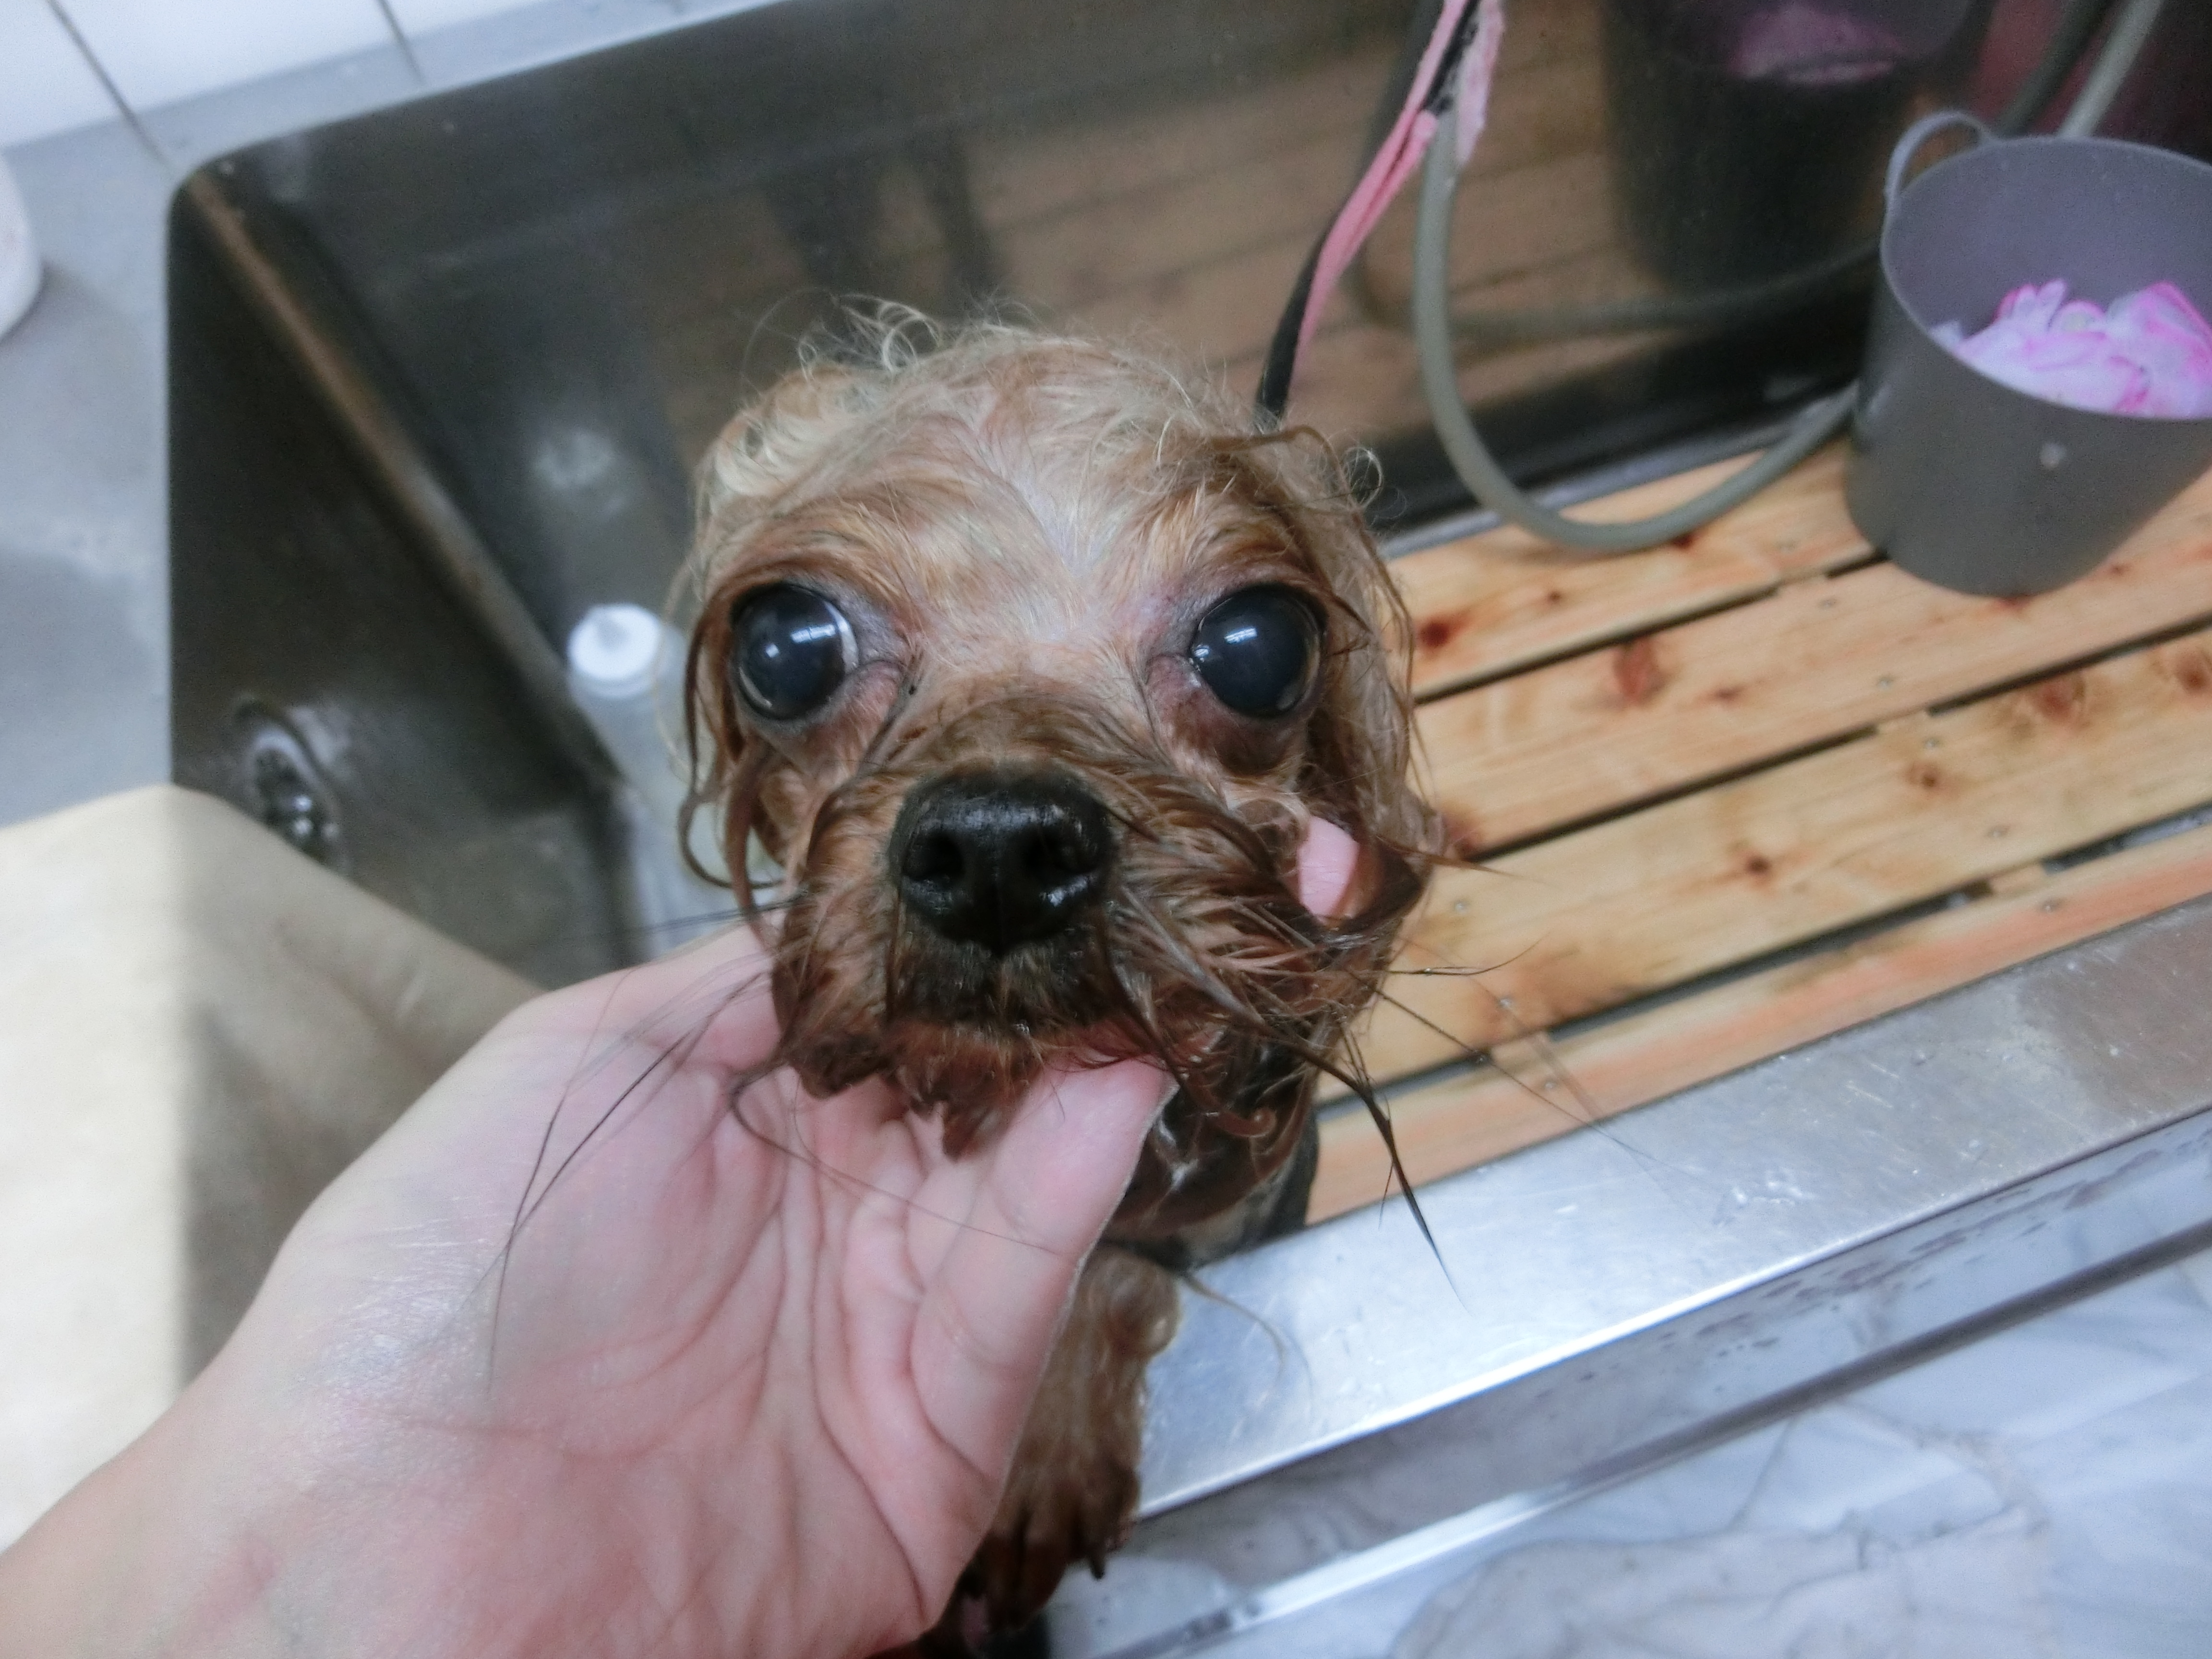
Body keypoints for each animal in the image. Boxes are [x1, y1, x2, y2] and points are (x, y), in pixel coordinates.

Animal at [680, 317, 1436, 1648]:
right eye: (784, 647)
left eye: (1258, 645)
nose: (997, 844)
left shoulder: (1230, 1201)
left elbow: (1120, 1261)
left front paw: (1049, 1444)